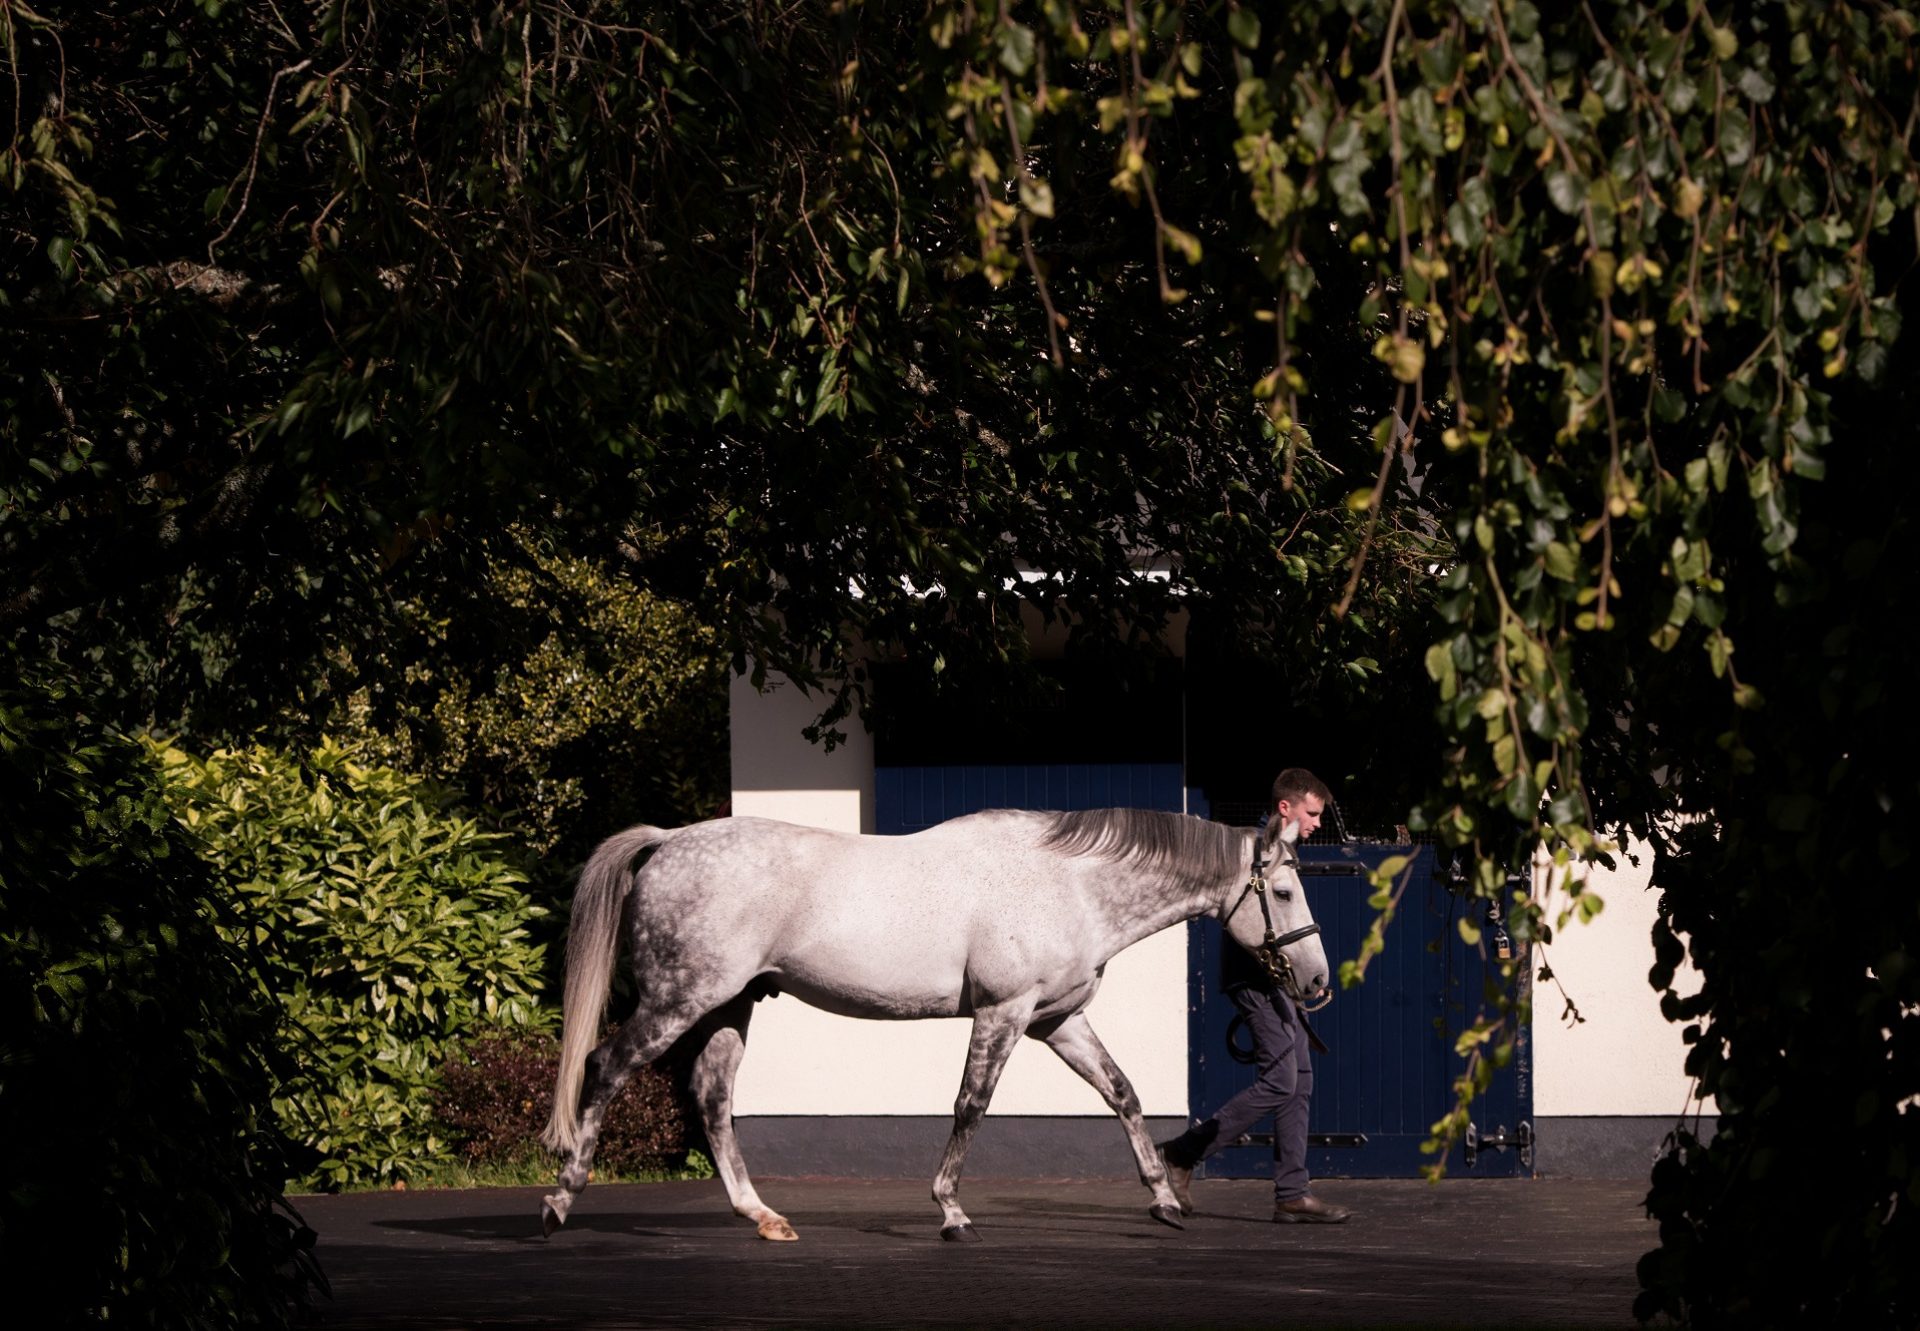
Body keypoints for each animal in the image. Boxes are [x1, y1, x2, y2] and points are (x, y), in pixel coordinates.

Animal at [541, 802, 1320, 1244]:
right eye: (1282, 890)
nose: (1313, 982)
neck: (1069, 884)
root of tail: (669, 841)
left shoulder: (1057, 1020)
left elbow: (1123, 1093)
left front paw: (1163, 1199)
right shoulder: (1004, 1012)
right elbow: (971, 1105)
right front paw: (950, 1212)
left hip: (730, 1005)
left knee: (712, 1098)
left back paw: (761, 1216)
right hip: (679, 1000)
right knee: (606, 1066)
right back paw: (560, 1199)